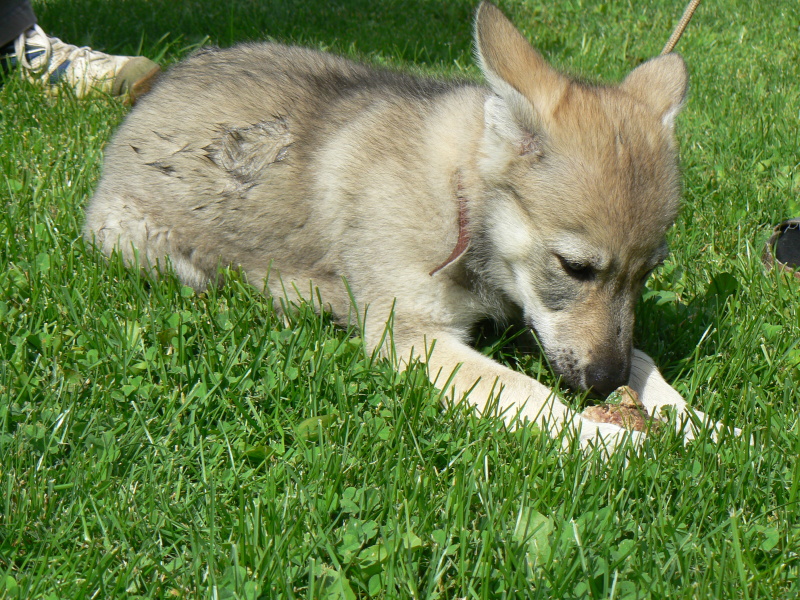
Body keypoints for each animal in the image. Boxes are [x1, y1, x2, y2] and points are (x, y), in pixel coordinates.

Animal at [84, 1, 728, 450]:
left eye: (650, 273)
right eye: (575, 267)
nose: (602, 383)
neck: (458, 200)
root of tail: (154, 91)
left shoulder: (530, 318)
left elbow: (646, 359)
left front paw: (705, 425)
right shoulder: (414, 339)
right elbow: (528, 392)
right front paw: (610, 442)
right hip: (142, 247)